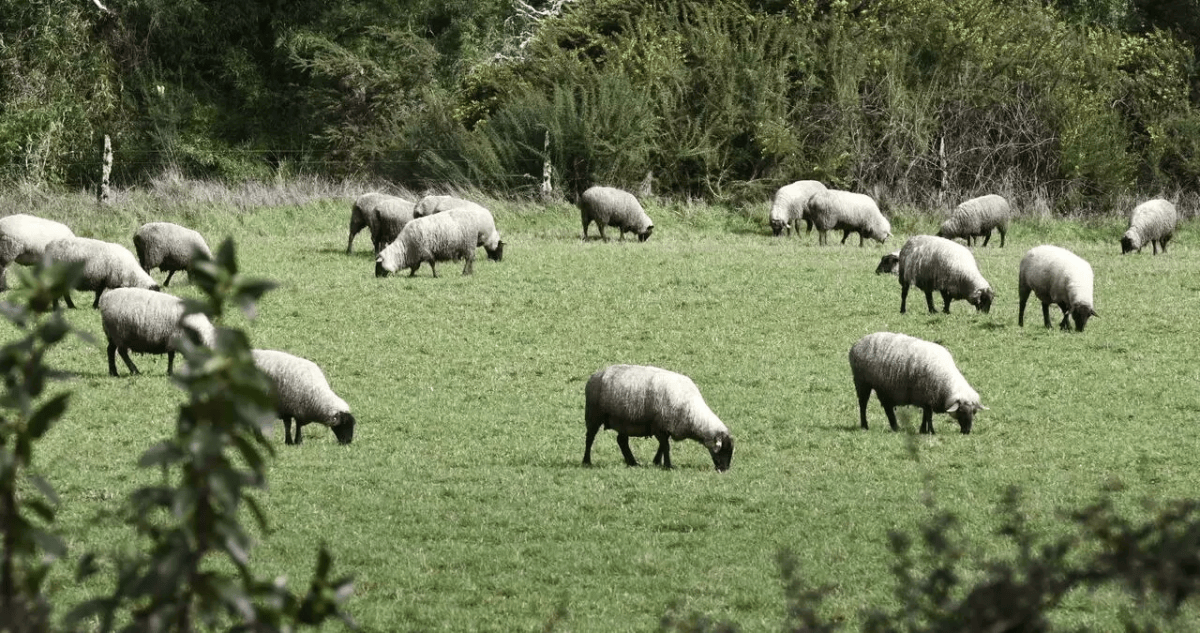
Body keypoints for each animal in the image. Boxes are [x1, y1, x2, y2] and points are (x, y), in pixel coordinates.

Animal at [582, 364, 734, 472]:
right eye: (723, 450)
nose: (725, 469)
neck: (692, 414)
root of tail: (595, 375)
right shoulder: (659, 426)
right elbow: (666, 446)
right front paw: (668, 465)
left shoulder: (665, 426)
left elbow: (662, 445)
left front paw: (657, 462)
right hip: (593, 414)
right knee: (590, 438)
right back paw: (586, 461)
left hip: (624, 421)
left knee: (622, 441)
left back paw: (632, 462)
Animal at [849, 331, 986, 434]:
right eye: (961, 411)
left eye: (974, 412)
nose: (967, 431)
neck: (945, 383)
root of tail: (856, 344)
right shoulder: (926, 395)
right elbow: (928, 416)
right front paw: (930, 431)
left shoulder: (927, 398)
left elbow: (925, 415)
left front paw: (923, 430)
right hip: (862, 382)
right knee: (863, 405)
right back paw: (865, 426)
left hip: (884, 387)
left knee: (888, 408)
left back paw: (896, 427)